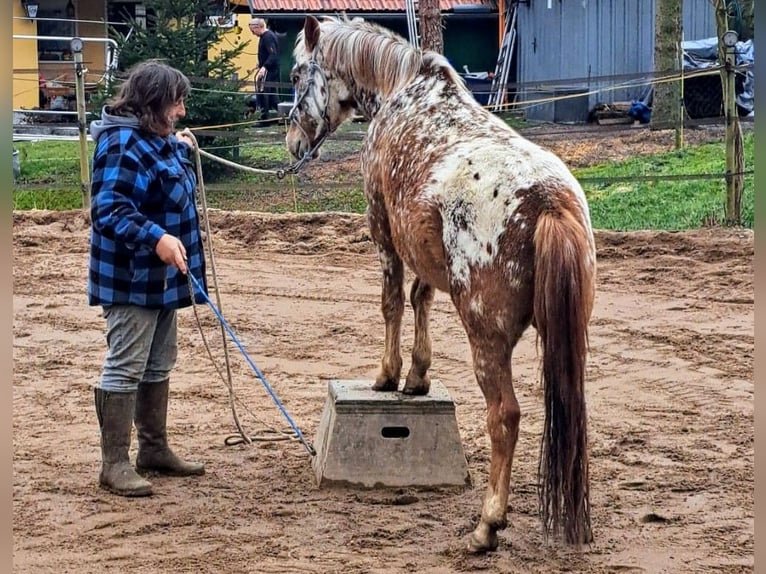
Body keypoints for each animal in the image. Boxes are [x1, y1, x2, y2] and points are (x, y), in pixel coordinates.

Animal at [286, 15, 597, 553]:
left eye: (297, 74)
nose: (292, 143)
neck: (403, 93)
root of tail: (548, 203)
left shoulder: (383, 231)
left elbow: (391, 302)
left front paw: (388, 375)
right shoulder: (423, 251)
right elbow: (420, 298)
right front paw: (417, 377)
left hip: (487, 339)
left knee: (504, 417)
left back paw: (487, 524)